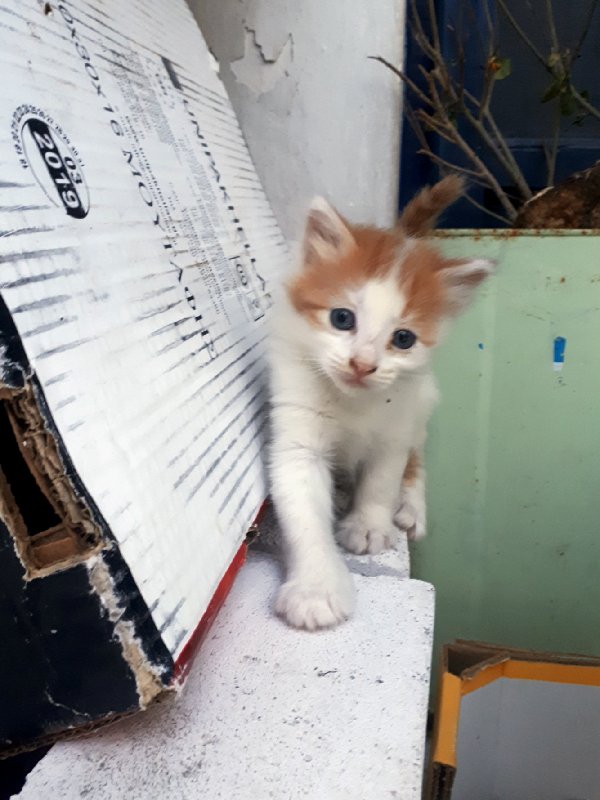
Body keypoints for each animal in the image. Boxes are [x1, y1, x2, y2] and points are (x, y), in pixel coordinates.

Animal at [268, 177, 492, 632]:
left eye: (403, 339)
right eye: (342, 318)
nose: (362, 365)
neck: (352, 402)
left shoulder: (396, 428)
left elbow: (382, 480)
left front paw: (370, 525)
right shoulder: (297, 436)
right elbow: (303, 514)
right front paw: (316, 589)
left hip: (422, 402)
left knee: (416, 459)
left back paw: (410, 506)